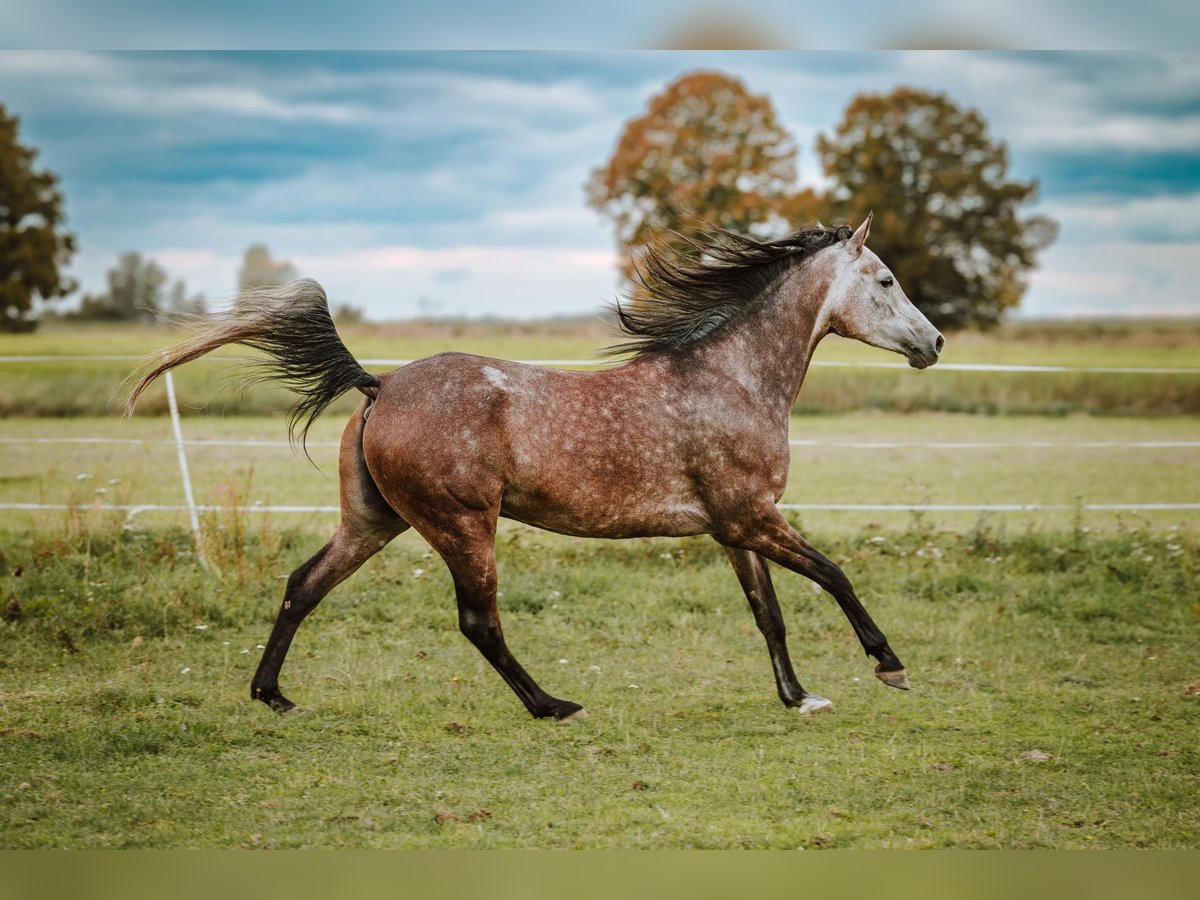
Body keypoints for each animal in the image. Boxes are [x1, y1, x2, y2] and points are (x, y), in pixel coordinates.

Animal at [124, 217, 945, 724]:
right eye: (885, 281)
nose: (935, 343)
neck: (731, 380)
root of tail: (379, 385)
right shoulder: (753, 516)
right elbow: (835, 574)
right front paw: (890, 666)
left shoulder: (734, 526)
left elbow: (767, 612)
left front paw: (799, 697)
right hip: (462, 526)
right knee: (478, 621)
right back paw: (553, 706)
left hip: (373, 522)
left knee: (304, 585)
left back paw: (273, 696)